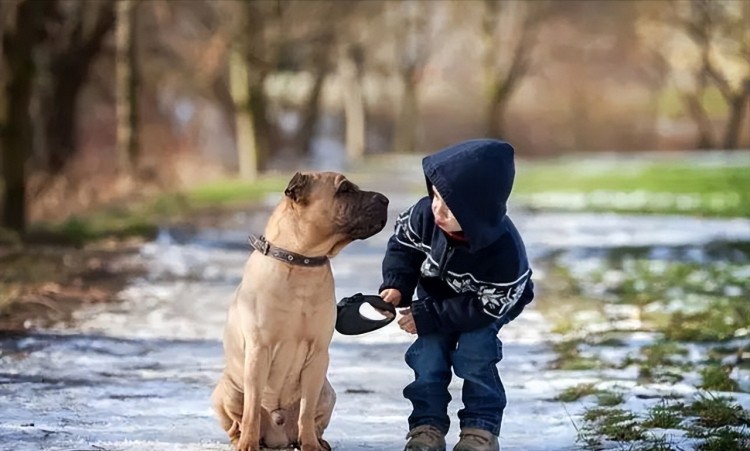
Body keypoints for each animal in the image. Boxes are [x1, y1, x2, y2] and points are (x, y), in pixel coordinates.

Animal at [212, 171, 388, 450]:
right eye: (344, 189)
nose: (385, 200)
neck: (301, 261)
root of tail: (278, 435)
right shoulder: (259, 351)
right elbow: (252, 408)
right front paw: (248, 443)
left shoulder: (318, 355)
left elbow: (306, 410)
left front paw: (310, 445)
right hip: (227, 391)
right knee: (238, 420)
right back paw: (242, 440)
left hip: (327, 392)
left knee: (312, 417)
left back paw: (318, 440)